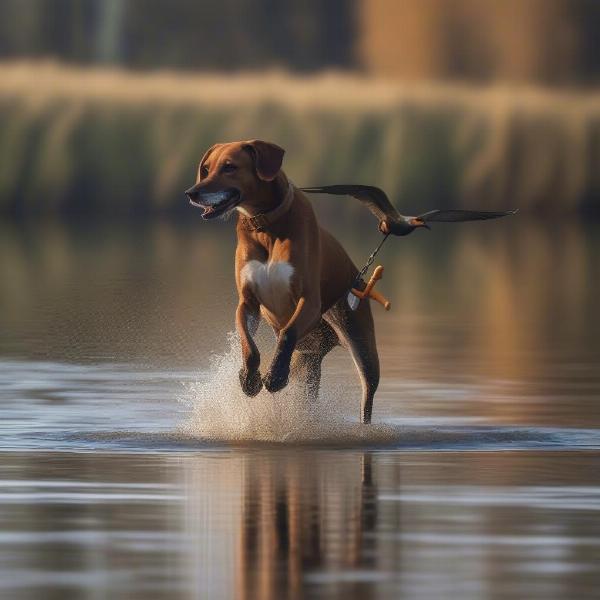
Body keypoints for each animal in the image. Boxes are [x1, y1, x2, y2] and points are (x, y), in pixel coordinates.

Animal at [185, 139, 378, 422]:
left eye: (229, 167)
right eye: (206, 169)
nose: (191, 193)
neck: (263, 225)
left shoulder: (309, 301)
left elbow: (287, 333)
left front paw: (274, 376)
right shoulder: (247, 303)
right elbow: (248, 344)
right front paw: (249, 379)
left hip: (361, 346)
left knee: (367, 396)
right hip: (306, 363)